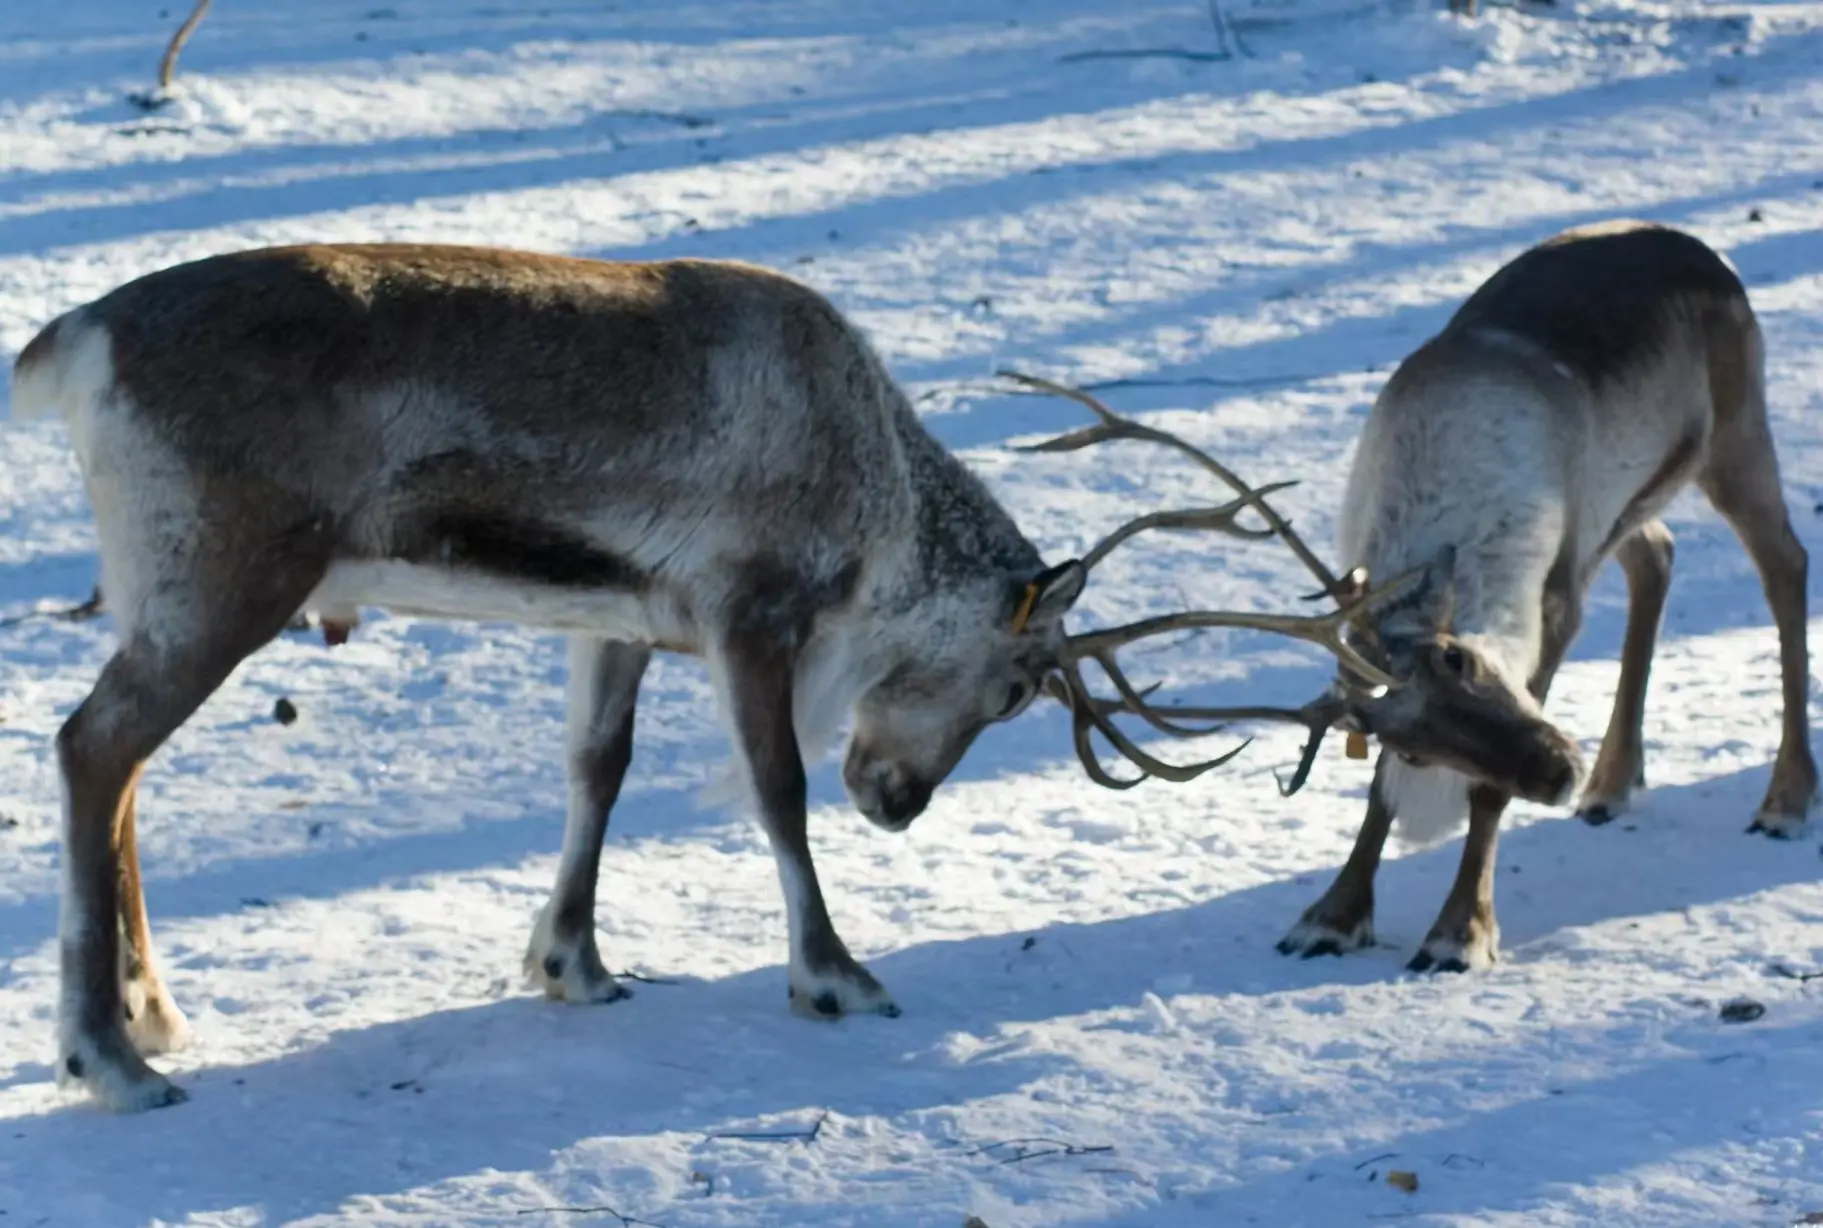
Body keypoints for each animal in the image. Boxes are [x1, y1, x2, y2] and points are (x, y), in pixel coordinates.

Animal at [11, 242, 1426, 1113]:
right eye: (1015, 687)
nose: (898, 802)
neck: (879, 500)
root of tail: (72, 341)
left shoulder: (622, 619)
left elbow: (597, 772)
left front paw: (573, 963)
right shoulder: (752, 613)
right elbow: (776, 794)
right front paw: (835, 975)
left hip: (171, 590)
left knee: (119, 769)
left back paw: (151, 1014)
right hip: (225, 578)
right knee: (90, 747)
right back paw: (109, 1058)